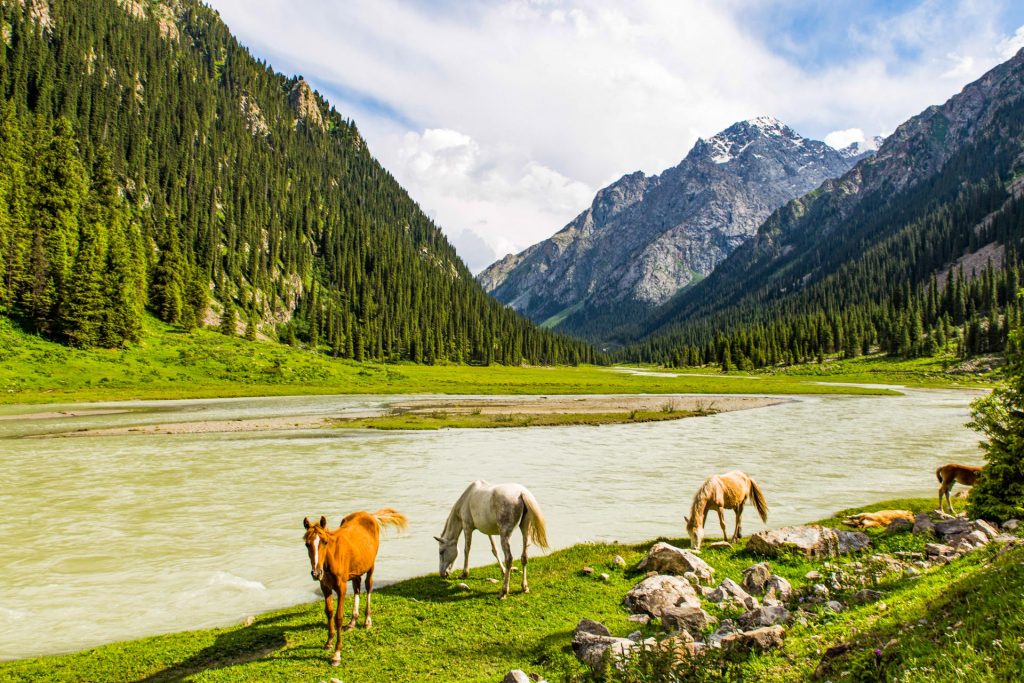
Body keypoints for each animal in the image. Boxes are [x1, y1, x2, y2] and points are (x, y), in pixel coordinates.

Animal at [301, 507, 405, 663]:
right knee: (357, 587)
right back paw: (352, 622)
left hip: (370, 566)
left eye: (324, 542)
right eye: (307, 544)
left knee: (368, 586)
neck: (330, 559)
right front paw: (329, 642)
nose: (316, 573)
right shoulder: (325, 587)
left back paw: (367, 621)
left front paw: (337, 653)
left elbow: (338, 617)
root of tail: (370, 515)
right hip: (356, 569)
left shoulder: (341, 587)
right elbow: (329, 612)